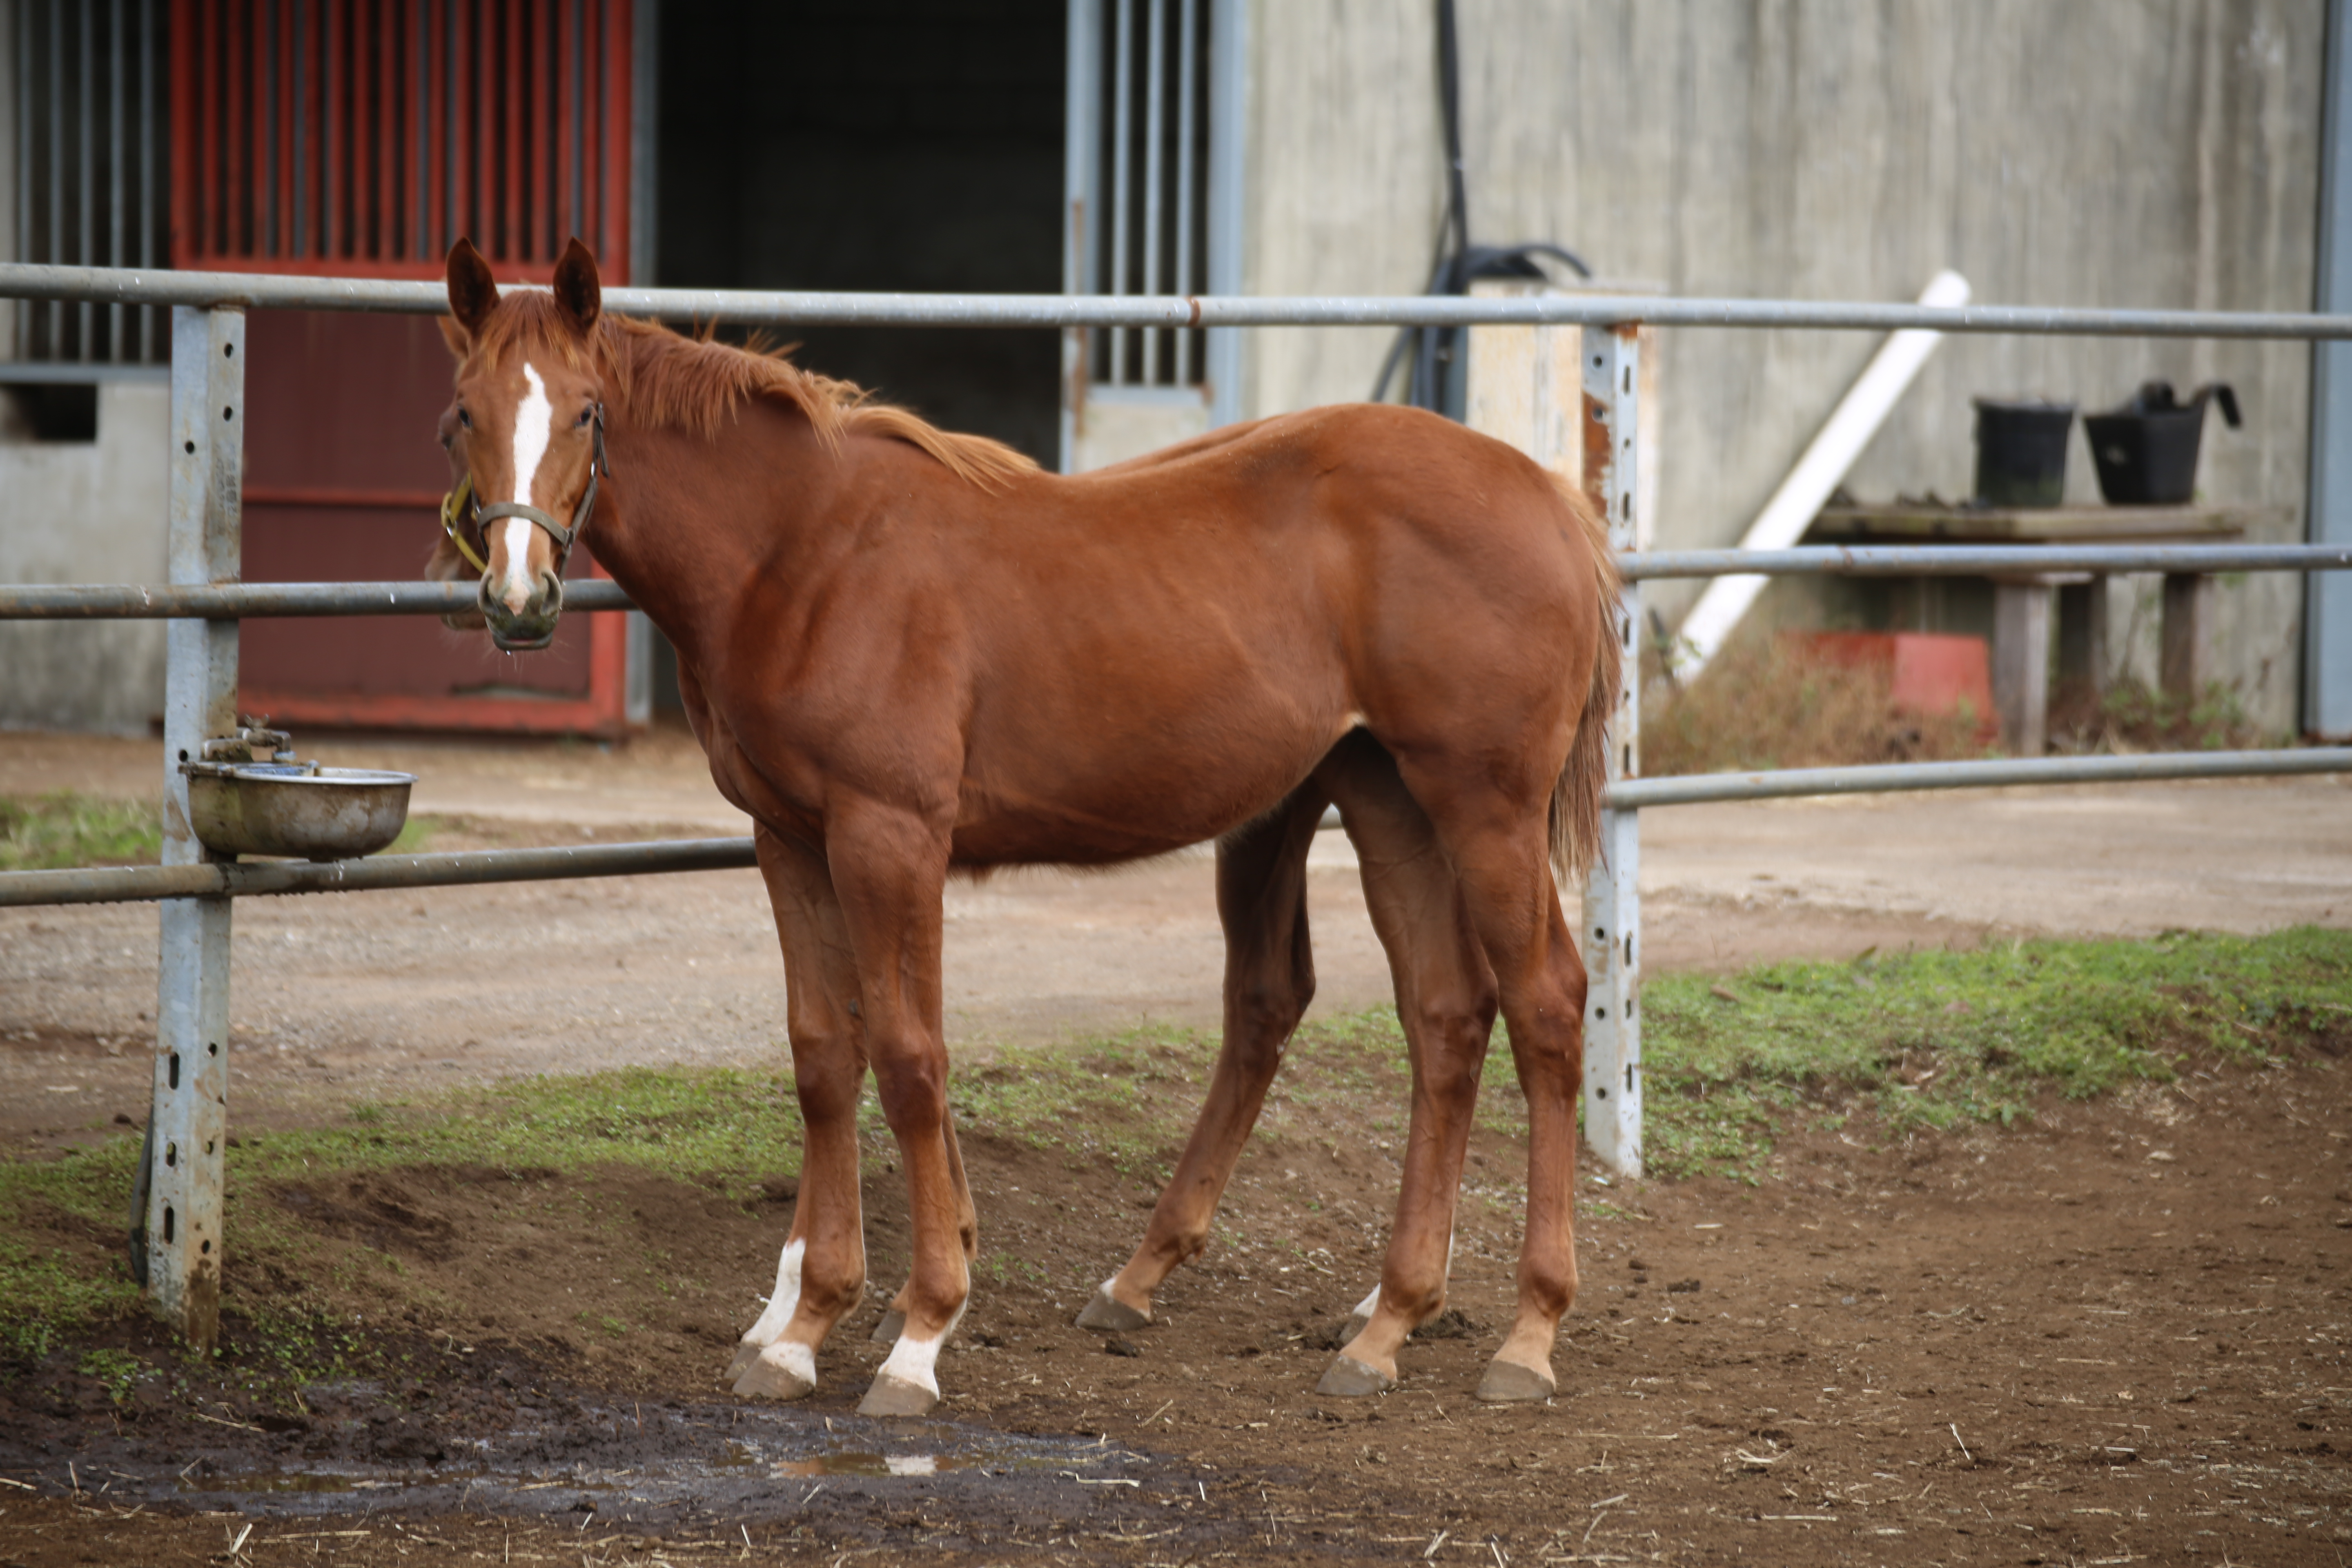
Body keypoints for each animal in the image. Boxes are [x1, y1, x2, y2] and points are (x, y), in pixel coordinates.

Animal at [428, 236, 1618, 1420]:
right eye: (462, 413)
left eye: (586, 412)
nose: (520, 601)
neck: (802, 553)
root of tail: (1549, 496)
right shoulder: (791, 839)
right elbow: (823, 1056)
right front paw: (801, 1327)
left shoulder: (890, 836)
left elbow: (909, 1058)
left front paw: (916, 1333)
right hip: (1383, 799)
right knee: (1440, 1015)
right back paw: (1378, 1322)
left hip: (1485, 808)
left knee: (1546, 1006)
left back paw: (1527, 1331)